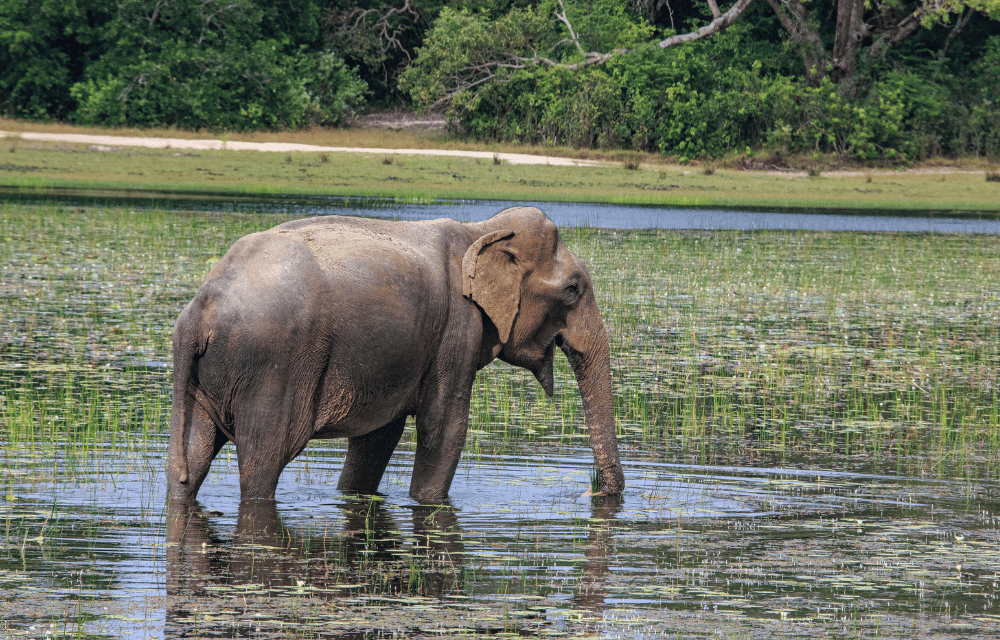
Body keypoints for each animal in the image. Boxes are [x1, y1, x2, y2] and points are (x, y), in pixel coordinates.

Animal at [170, 206, 624, 504]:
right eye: (573, 289)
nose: (595, 492)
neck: (480, 230)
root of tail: (200, 310)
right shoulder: (456, 329)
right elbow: (445, 426)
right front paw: (427, 502)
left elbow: (378, 436)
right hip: (273, 368)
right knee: (264, 461)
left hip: (201, 379)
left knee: (191, 462)